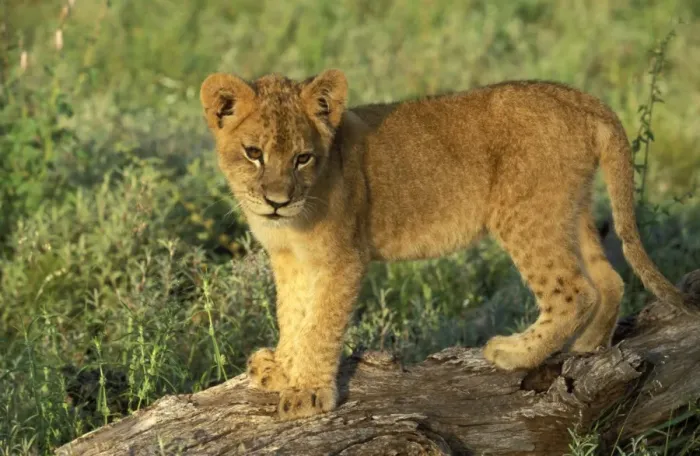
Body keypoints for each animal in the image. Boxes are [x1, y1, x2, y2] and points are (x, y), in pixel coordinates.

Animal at [199, 69, 692, 420]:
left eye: (303, 157)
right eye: (253, 153)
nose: (277, 201)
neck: (294, 221)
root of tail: (579, 97)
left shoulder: (341, 258)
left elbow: (320, 325)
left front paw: (308, 393)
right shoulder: (291, 261)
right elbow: (293, 315)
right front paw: (282, 368)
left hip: (525, 215)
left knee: (574, 290)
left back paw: (514, 353)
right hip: (570, 211)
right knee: (608, 279)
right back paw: (588, 347)